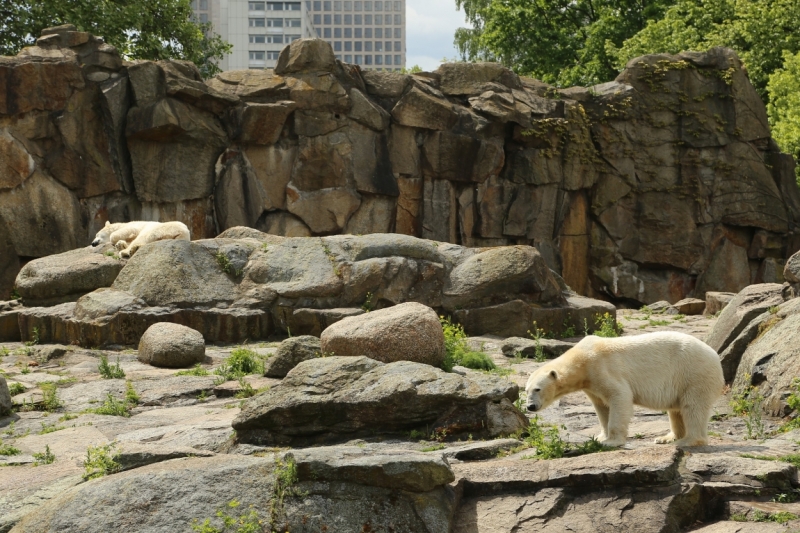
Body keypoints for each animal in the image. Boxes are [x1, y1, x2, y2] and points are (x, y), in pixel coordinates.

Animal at [524, 330, 724, 446]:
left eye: (537, 389)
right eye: (526, 390)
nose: (530, 407)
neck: (581, 359)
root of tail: (715, 356)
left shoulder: (602, 368)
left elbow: (619, 397)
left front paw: (611, 442)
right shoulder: (592, 384)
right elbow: (601, 407)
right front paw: (601, 437)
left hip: (693, 373)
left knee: (693, 407)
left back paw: (687, 441)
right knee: (676, 410)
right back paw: (667, 437)